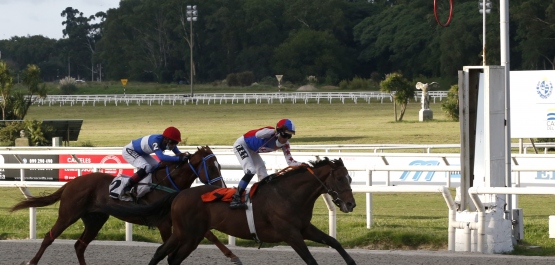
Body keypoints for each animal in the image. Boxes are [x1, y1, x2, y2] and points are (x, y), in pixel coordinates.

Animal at [10, 145, 241, 262]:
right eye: (211, 167)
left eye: (220, 166)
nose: (219, 186)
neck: (168, 184)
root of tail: (71, 183)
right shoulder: (165, 223)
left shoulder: (183, 219)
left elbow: (210, 235)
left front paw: (232, 255)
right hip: (69, 213)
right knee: (49, 238)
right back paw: (32, 261)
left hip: (95, 219)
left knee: (79, 245)